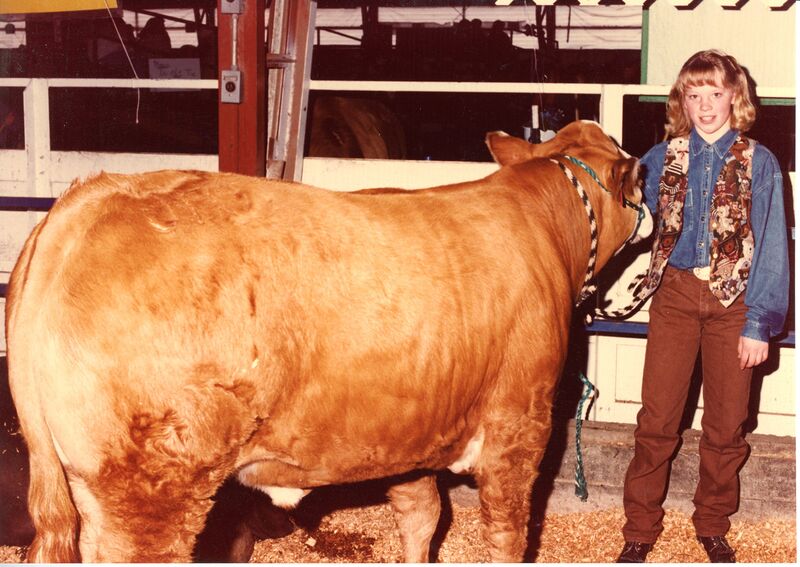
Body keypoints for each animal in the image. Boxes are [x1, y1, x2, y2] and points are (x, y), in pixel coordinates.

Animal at [5, 121, 651, 562]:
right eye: (638, 178)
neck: (542, 223)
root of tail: (91, 199)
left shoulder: (407, 429)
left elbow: (422, 517)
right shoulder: (520, 426)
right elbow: (507, 534)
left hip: (82, 486)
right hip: (149, 491)